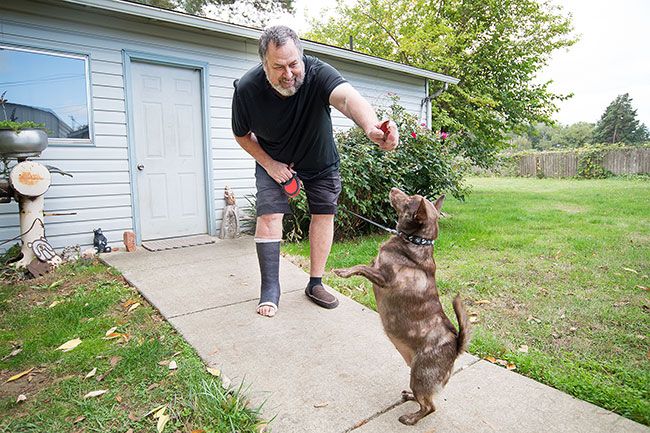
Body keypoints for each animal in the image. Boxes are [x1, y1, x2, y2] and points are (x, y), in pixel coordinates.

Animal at [332, 187, 468, 424]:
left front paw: (344, 271)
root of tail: (456, 345)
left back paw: (411, 418)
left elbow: (360, 267)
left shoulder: (382, 277)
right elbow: (363, 265)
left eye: (409, 199)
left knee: (429, 406)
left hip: (420, 376)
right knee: (424, 399)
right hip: (415, 374)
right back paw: (409, 396)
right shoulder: (376, 270)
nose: (394, 189)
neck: (416, 241)